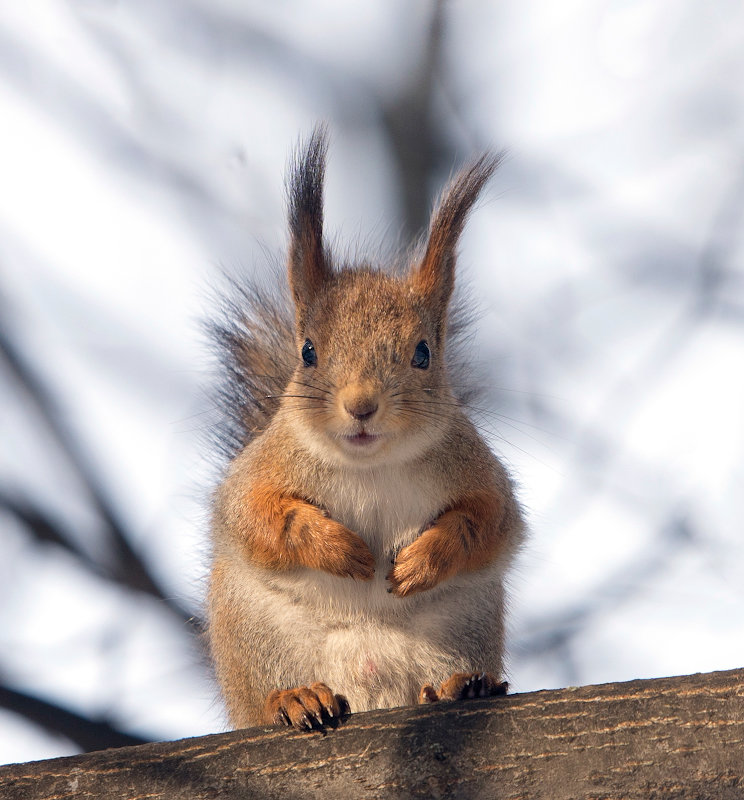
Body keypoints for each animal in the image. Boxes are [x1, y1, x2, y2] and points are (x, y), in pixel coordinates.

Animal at [206, 126, 528, 732]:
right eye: (308, 351)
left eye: (424, 353)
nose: (361, 406)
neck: (370, 465)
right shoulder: (260, 471)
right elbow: (259, 516)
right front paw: (340, 550)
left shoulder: (477, 472)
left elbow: (489, 522)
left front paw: (424, 559)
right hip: (257, 639)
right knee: (266, 699)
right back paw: (295, 699)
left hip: (462, 625)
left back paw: (457, 687)